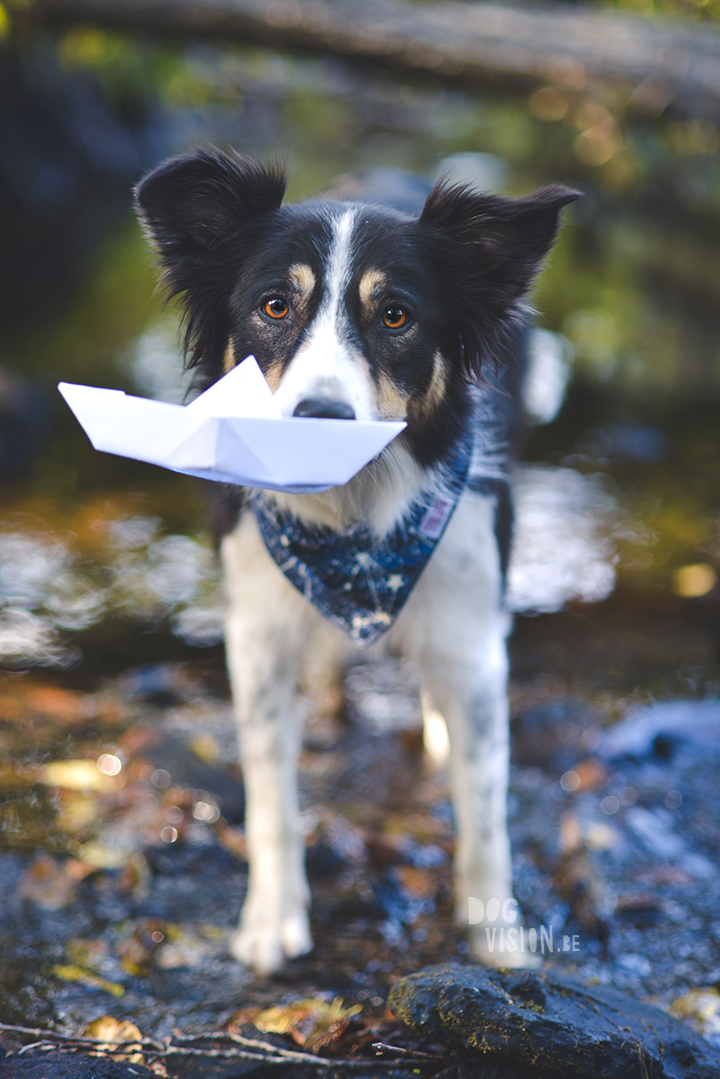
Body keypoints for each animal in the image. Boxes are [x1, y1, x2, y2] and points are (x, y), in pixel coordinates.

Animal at [132, 152, 578, 979]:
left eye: (395, 316)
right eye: (274, 305)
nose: (321, 418)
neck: (353, 522)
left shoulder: (472, 634)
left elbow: (485, 806)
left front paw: (495, 937)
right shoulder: (258, 632)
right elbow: (271, 796)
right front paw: (272, 921)